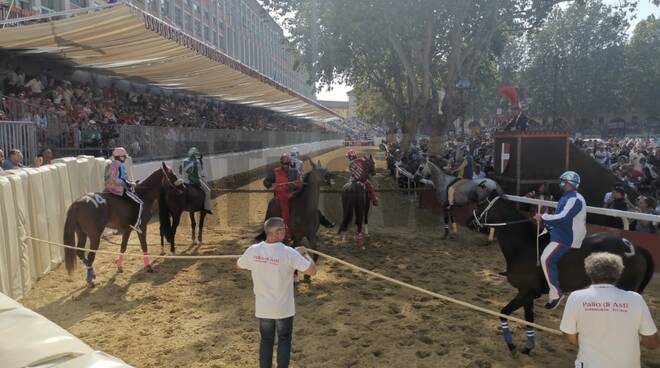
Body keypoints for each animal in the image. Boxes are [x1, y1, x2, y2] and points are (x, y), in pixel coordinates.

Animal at [472, 197, 652, 356]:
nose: (471, 221)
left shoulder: (527, 292)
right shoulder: (527, 295)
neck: (524, 246)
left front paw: (512, 347)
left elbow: (503, 312)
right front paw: (527, 348)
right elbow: (529, 321)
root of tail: (634, 248)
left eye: (480, 204)